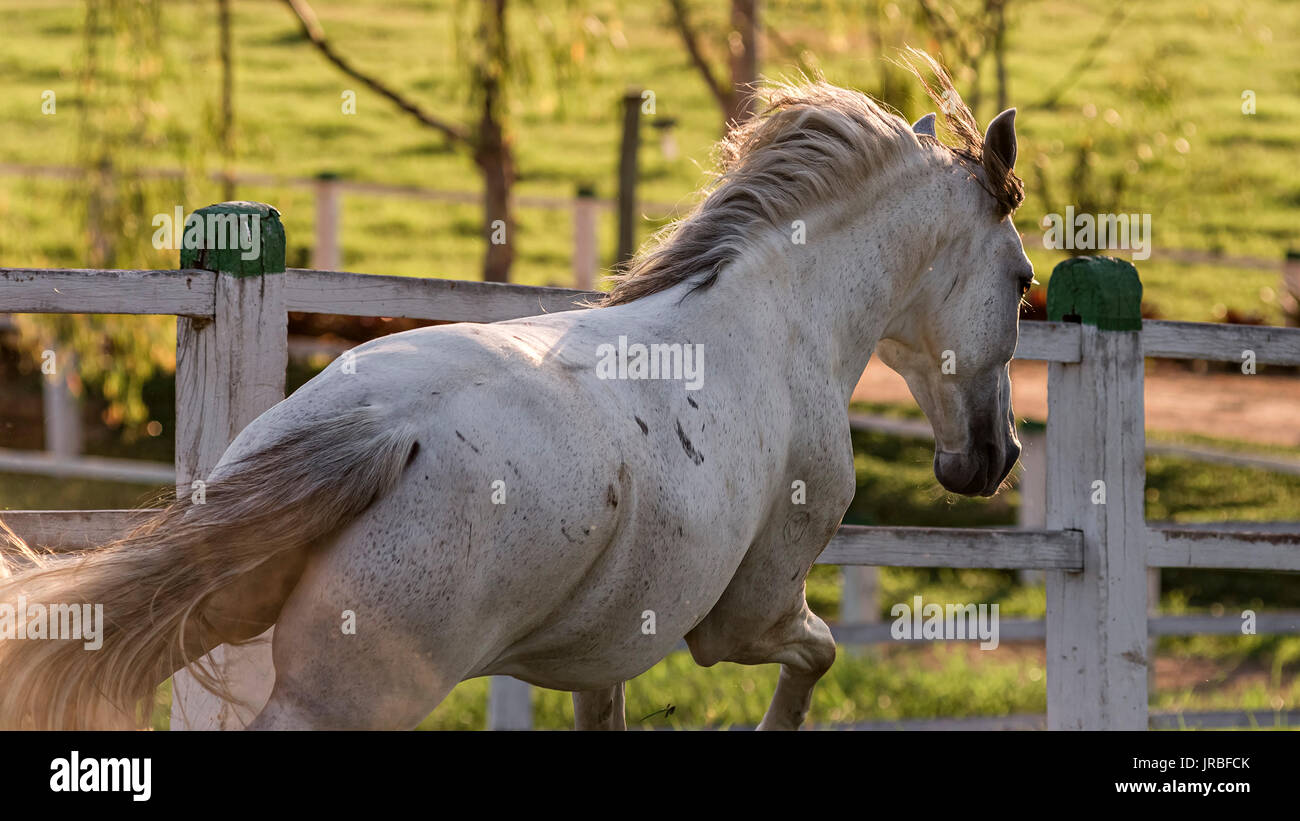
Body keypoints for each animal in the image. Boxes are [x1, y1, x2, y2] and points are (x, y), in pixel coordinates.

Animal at [2, 64, 1034, 732]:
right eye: (1023, 280)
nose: (994, 459)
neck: (778, 318)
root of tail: (379, 433)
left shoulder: (604, 654)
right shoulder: (747, 618)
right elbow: (818, 657)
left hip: (226, 622)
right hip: (346, 696)